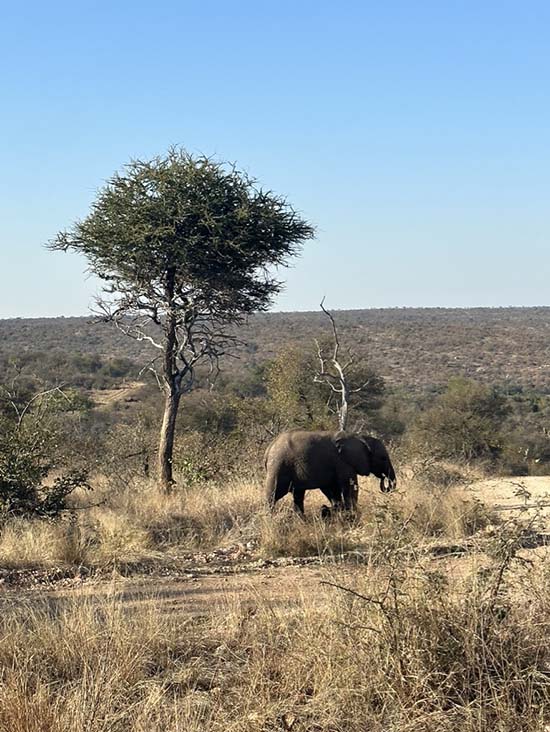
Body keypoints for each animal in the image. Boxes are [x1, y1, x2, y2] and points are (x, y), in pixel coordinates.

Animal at [264, 428, 396, 516]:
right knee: (273, 494)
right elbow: (349, 487)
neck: (361, 438)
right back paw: (270, 518)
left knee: (298, 496)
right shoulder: (343, 463)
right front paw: (352, 515)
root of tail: (269, 448)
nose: (383, 479)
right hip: (278, 466)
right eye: (383, 458)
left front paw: (339, 513)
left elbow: (333, 490)